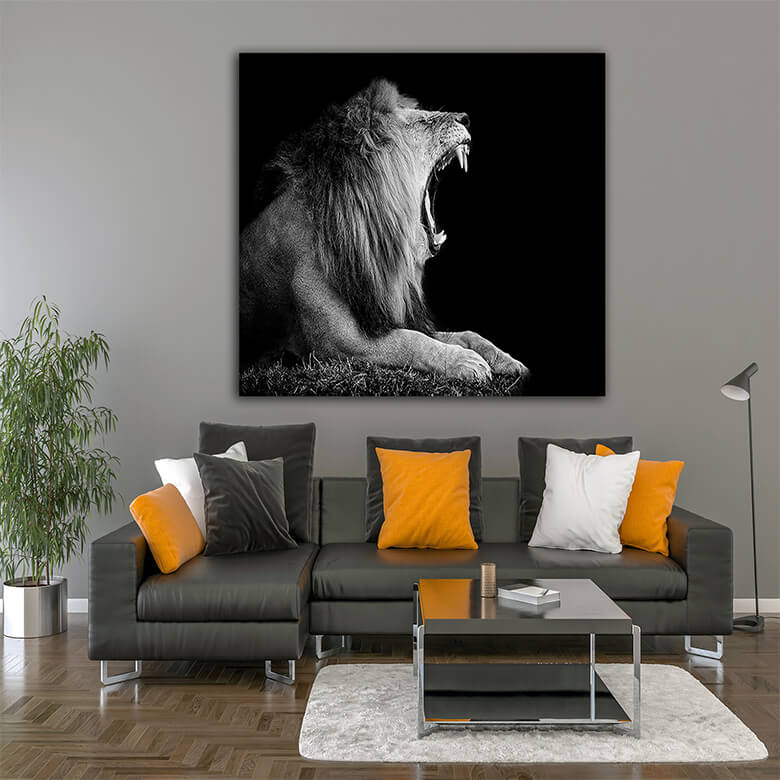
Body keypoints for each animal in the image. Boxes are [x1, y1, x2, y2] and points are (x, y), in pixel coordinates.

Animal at [239, 79, 528, 383]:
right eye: (422, 121)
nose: (465, 118)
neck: (374, 241)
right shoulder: (336, 341)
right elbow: (410, 341)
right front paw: (464, 361)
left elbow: (464, 334)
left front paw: (506, 359)